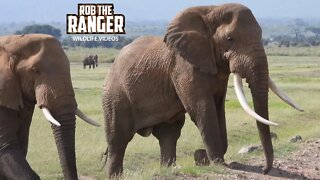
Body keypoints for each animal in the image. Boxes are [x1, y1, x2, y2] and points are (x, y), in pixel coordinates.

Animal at [101, 3, 302, 178]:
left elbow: (218, 108)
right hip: (115, 97)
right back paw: (116, 175)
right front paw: (216, 161)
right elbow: (201, 108)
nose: (265, 171)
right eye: (229, 39)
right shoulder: (184, 66)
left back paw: (168, 169)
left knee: (169, 135)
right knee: (118, 141)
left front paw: (205, 157)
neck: (211, 9)